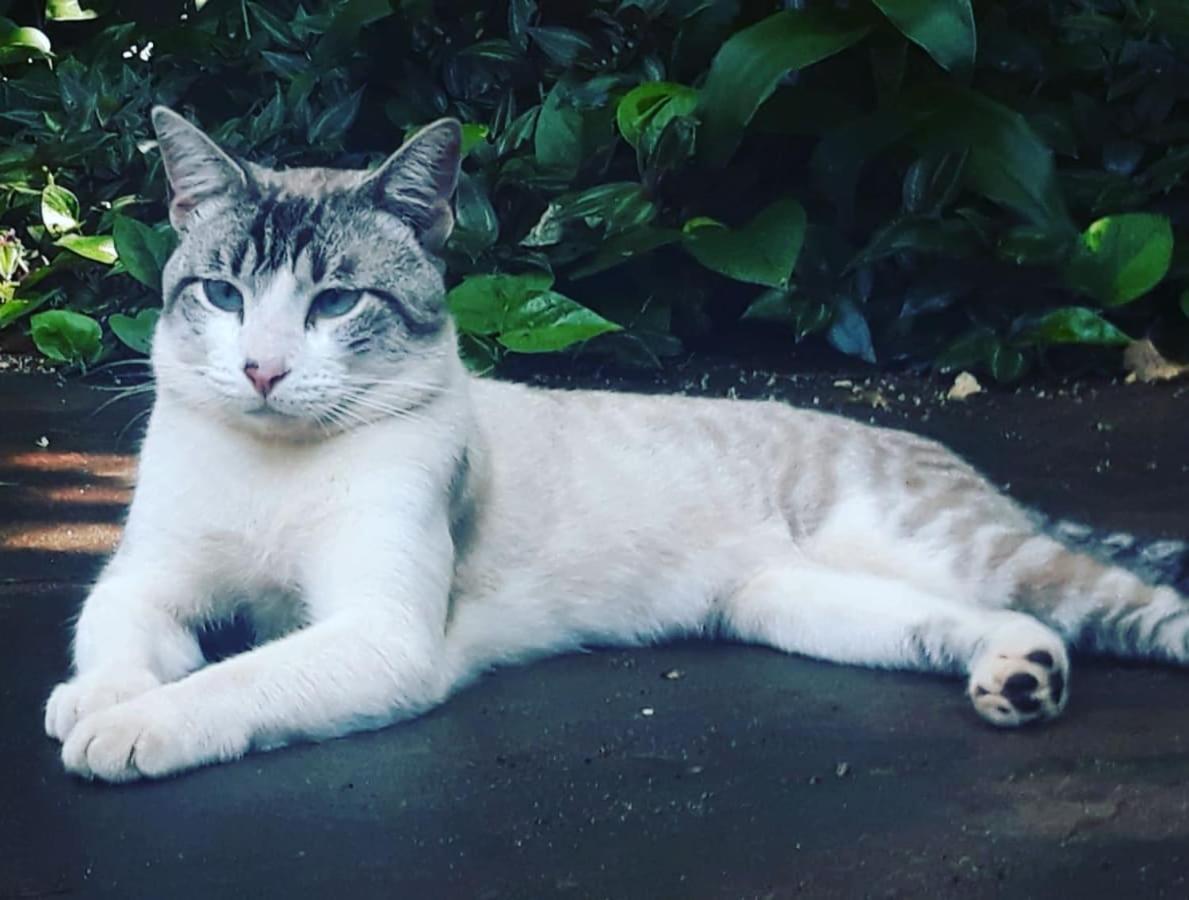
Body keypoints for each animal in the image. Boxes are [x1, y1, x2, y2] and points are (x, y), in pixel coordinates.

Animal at [43, 107, 1189, 779]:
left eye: (334, 303)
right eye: (222, 294)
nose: (262, 371)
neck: (274, 467)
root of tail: (941, 454)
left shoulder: (377, 633)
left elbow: (235, 680)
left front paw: (132, 729)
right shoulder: (147, 578)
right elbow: (114, 635)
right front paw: (97, 700)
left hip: (958, 549)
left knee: (1124, 604)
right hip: (799, 606)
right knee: (986, 623)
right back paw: (1018, 678)